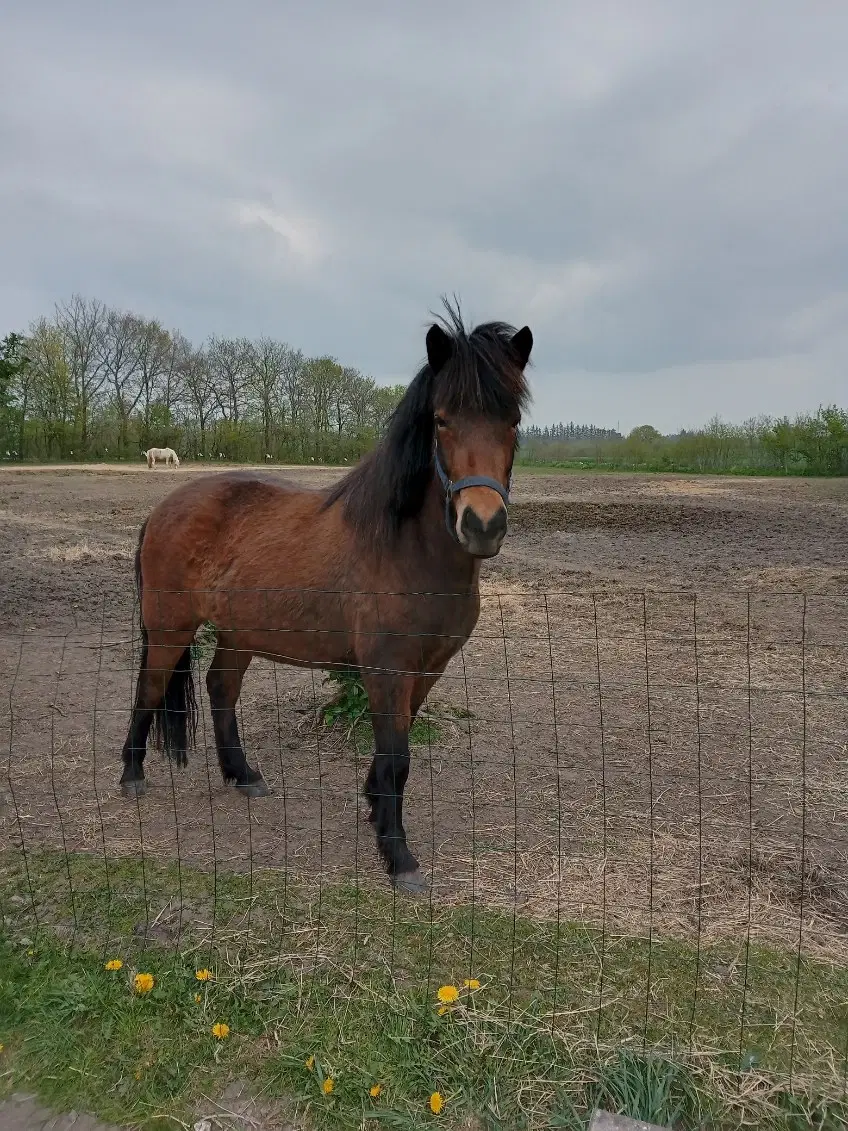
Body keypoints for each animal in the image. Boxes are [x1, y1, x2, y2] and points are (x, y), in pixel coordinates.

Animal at [120, 307, 531, 891]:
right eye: (442, 419)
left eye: (512, 420)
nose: (482, 525)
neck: (405, 547)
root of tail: (163, 508)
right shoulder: (387, 668)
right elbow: (397, 755)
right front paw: (399, 858)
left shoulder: (427, 669)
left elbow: (394, 750)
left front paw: (376, 811)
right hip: (170, 626)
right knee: (150, 687)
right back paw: (132, 775)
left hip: (238, 633)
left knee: (221, 689)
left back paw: (242, 775)